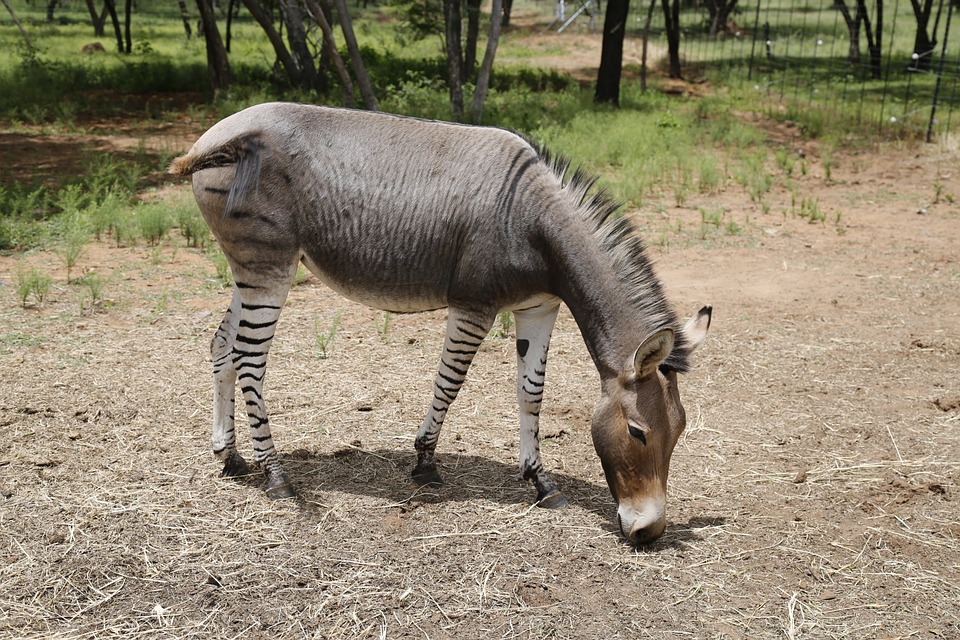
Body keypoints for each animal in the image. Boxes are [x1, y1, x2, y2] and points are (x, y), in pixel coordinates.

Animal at [170, 102, 711, 544]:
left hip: (247, 270)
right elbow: (450, 383)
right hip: (269, 266)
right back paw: (275, 475)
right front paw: (425, 461)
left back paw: (230, 456)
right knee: (250, 358)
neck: (537, 226)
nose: (649, 533)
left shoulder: (538, 307)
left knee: (222, 346)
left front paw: (540, 481)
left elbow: (530, 393)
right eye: (638, 432)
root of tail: (219, 132)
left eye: (680, 431)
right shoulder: (474, 304)